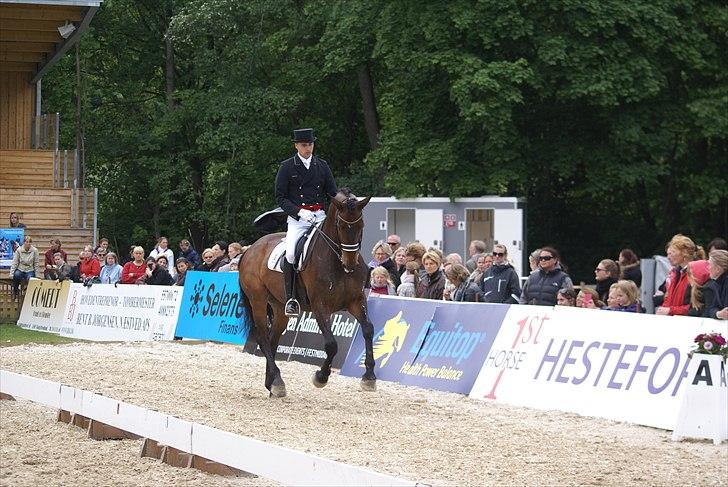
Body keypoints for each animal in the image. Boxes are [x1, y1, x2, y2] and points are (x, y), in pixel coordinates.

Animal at [239, 189, 376, 398]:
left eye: (361, 225)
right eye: (340, 225)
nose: (350, 263)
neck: (336, 262)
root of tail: (249, 249)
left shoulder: (356, 301)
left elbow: (368, 329)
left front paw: (369, 377)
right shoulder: (321, 306)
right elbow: (331, 345)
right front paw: (321, 377)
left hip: (280, 307)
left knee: (272, 340)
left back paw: (272, 384)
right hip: (258, 301)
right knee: (263, 339)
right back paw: (277, 382)